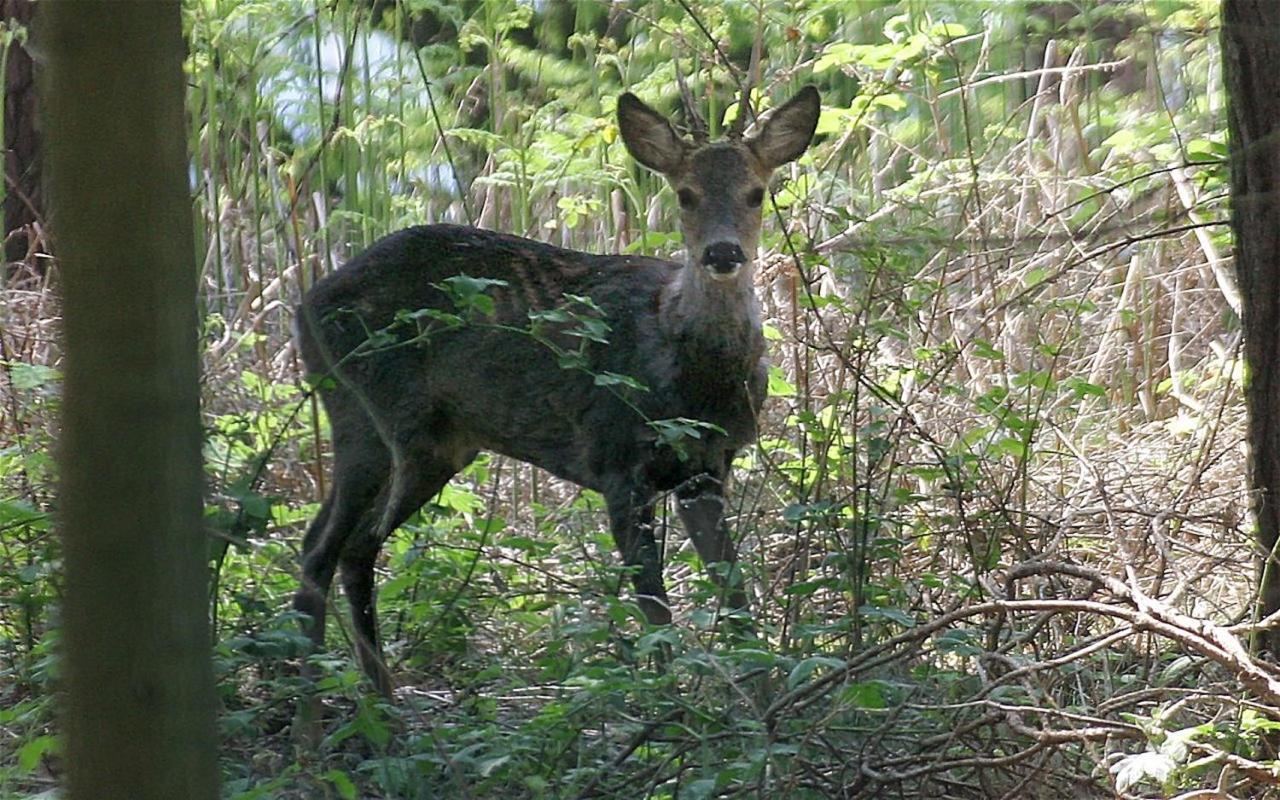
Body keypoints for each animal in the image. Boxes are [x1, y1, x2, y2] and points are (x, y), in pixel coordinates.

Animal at [293, 81, 819, 691]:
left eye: (756, 193)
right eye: (685, 195)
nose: (723, 253)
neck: (691, 377)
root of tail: (306, 305)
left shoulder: (706, 470)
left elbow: (735, 597)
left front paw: (765, 697)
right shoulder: (617, 462)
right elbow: (656, 611)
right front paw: (666, 701)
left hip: (382, 427)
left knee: (319, 544)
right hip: (402, 422)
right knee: (350, 547)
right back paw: (365, 701)